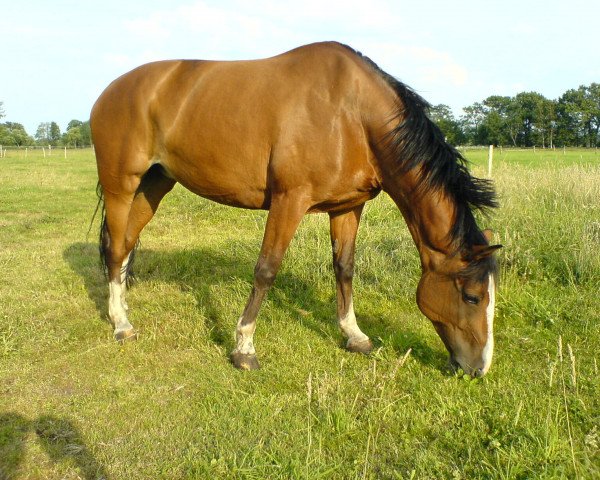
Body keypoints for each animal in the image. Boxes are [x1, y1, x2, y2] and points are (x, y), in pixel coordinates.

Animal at [90, 41, 502, 376]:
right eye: (472, 296)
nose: (478, 369)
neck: (352, 113)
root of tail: (108, 92)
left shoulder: (347, 207)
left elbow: (344, 268)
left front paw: (354, 335)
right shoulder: (290, 200)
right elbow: (266, 270)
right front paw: (244, 348)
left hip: (155, 184)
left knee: (126, 244)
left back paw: (122, 311)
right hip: (121, 186)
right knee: (115, 248)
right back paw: (121, 324)